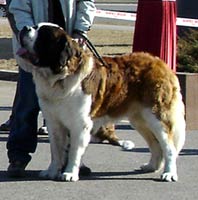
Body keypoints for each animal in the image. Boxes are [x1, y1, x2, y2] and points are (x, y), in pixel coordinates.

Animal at [16, 22, 186, 182]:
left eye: (43, 36)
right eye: (35, 26)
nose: (24, 28)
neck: (60, 77)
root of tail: (161, 64)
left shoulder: (80, 124)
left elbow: (73, 151)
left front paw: (69, 173)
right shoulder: (54, 123)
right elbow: (56, 150)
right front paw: (51, 172)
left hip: (156, 116)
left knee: (169, 147)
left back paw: (169, 174)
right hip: (140, 119)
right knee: (155, 145)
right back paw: (151, 166)